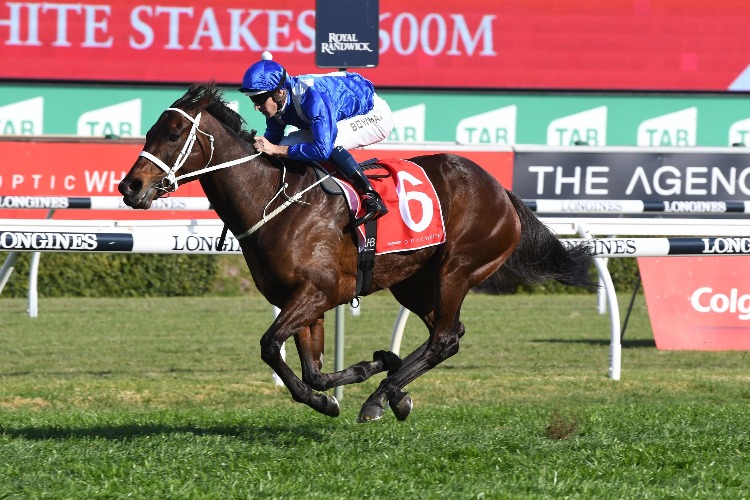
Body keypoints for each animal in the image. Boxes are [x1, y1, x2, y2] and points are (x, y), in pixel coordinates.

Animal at [118, 83, 596, 423]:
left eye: (174, 133)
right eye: (149, 131)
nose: (129, 186)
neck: (276, 201)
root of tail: (501, 190)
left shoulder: (318, 291)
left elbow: (270, 346)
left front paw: (341, 391)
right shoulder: (302, 301)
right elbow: (310, 367)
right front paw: (357, 376)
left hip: (456, 269)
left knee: (444, 338)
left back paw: (380, 397)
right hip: (414, 281)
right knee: (449, 334)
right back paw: (395, 390)